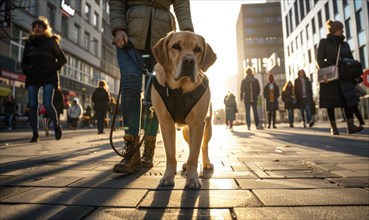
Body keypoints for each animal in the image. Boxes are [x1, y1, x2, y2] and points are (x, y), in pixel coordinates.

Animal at [151, 31, 216, 189]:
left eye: (197, 49)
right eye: (176, 46)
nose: (189, 61)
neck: (179, 90)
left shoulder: (197, 124)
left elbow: (194, 155)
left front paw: (192, 179)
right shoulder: (165, 123)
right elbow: (170, 155)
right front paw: (168, 177)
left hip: (207, 127)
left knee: (203, 147)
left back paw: (205, 163)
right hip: (187, 131)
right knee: (192, 146)